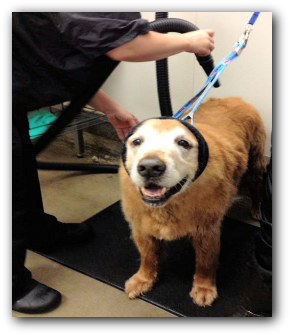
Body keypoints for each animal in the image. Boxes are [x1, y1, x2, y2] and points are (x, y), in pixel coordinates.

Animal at [119, 97, 266, 308]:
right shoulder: (141, 227)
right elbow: (147, 257)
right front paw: (143, 280)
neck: (171, 203)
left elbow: (205, 263)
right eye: (137, 141)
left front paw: (204, 289)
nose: (150, 167)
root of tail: (235, 98)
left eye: (183, 143)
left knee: (256, 188)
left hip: (256, 162)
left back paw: (255, 209)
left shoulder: (206, 230)